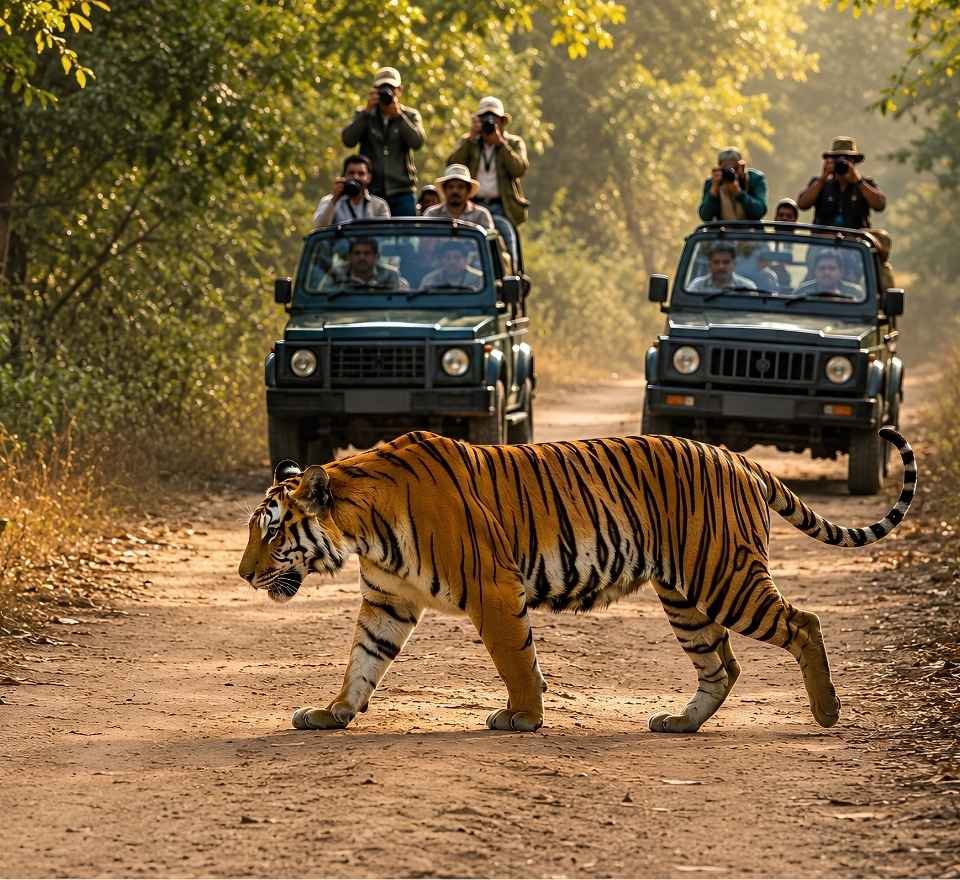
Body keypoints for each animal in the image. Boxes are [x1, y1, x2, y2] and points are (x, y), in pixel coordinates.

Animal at [239, 427, 916, 734]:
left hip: (724, 577)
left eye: (271, 533)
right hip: (686, 597)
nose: (244, 575)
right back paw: (681, 723)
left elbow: (515, 658)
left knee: (804, 623)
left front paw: (522, 717)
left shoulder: (493, 588)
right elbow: (362, 660)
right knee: (721, 664)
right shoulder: (387, 601)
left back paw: (827, 712)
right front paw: (332, 713)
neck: (363, 526)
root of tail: (740, 458)